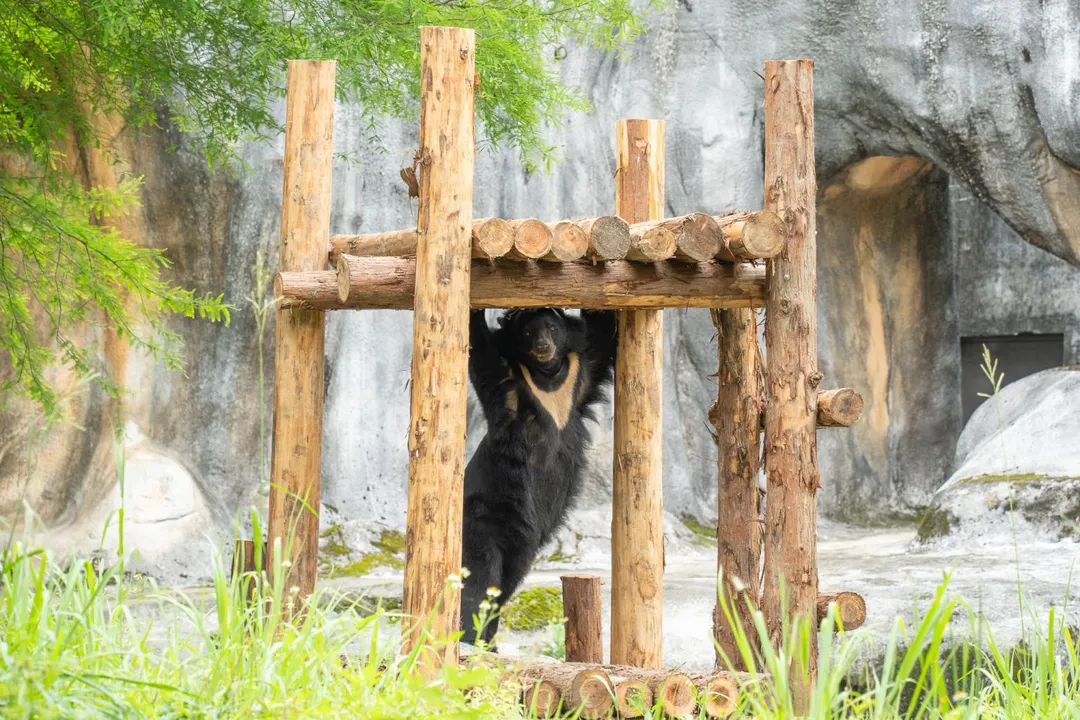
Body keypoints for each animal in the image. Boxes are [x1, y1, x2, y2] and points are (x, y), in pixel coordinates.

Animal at [459, 307, 618, 648]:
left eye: (552, 329)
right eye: (529, 333)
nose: (544, 345)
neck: (546, 375)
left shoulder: (582, 374)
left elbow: (603, 330)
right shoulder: (505, 380)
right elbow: (479, 345)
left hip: (521, 547)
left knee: (505, 585)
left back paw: (488, 644)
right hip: (482, 518)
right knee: (480, 579)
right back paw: (469, 640)